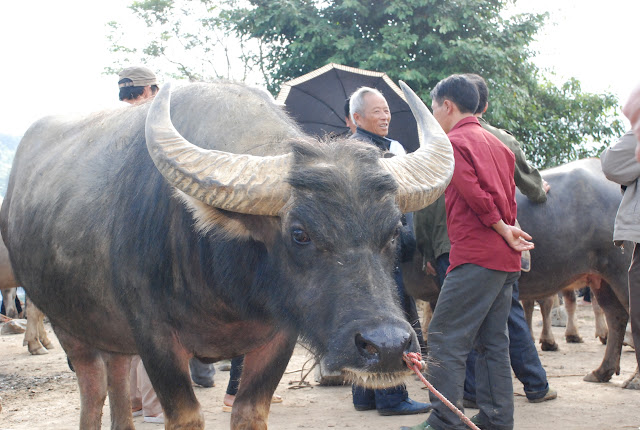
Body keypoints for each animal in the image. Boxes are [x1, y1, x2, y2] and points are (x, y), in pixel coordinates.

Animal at [0, 81, 452, 430]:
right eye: (299, 234)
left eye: (393, 231)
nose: (388, 345)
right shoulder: (155, 338)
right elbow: (184, 416)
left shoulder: (279, 337)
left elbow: (250, 412)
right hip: (67, 322)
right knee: (92, 392)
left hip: (112, 334)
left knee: (117, 381)